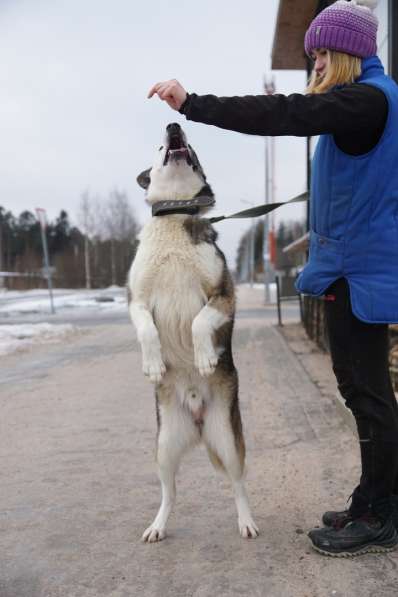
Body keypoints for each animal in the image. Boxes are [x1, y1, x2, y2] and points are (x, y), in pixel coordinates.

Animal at [127, 121, 258, 540]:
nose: (174, 125)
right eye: (159, 146)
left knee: (238, 484)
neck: (175, 214)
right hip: (164, 447)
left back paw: (246, 522)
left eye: (193, 146)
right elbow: (147, 329)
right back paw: (157, 526)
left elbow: (200, 321)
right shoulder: (136, 300)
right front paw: (153, 364)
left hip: (228, 441)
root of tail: (199, 422)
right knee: (170, 492)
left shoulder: (224, 296)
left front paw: (203, 359)